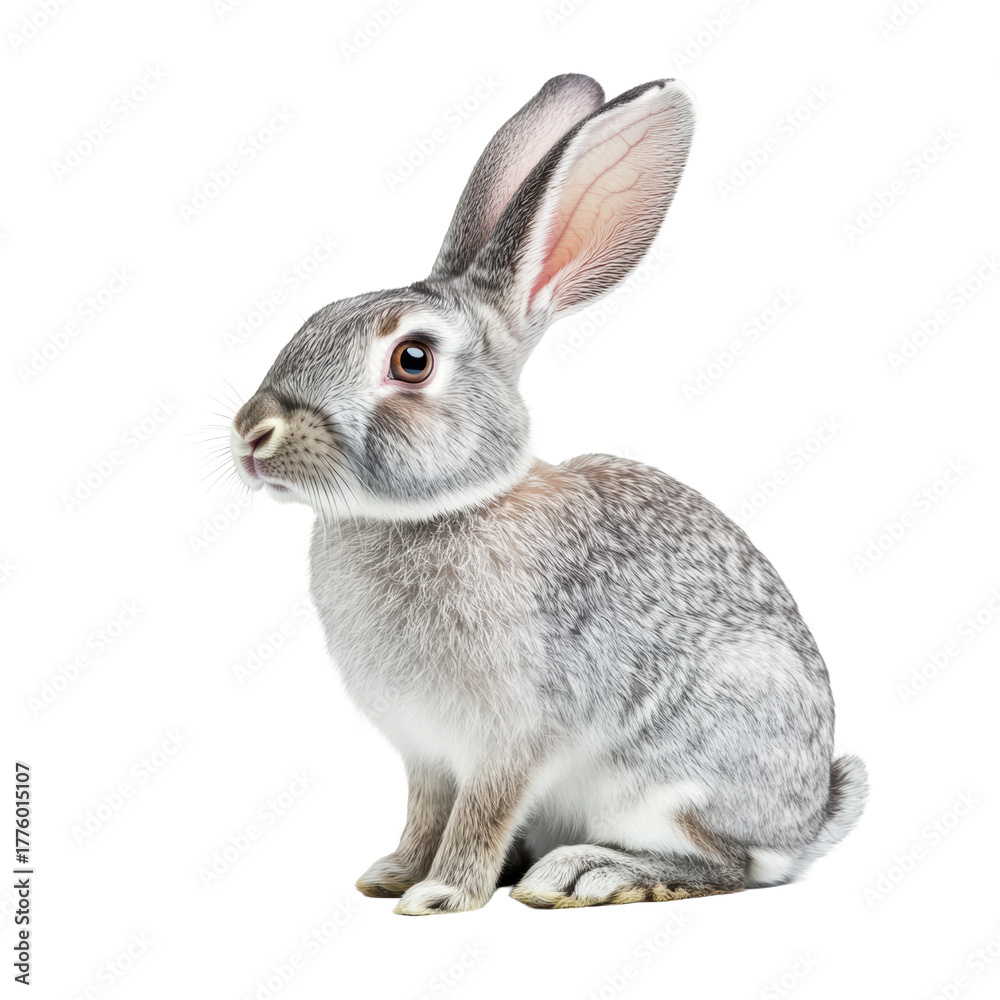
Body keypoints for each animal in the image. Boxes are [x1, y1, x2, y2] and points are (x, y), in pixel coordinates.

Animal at [230, 73, 867, 914]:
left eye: (411, 359)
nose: (252, 433)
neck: (443, 508)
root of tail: (811, 816)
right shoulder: (426, 753)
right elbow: (425, 811)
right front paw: (393, 874)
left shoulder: (513, 737)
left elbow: (480, 813)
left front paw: (441, 895)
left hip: (682, 773)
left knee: (733, 864)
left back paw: (587, 874)